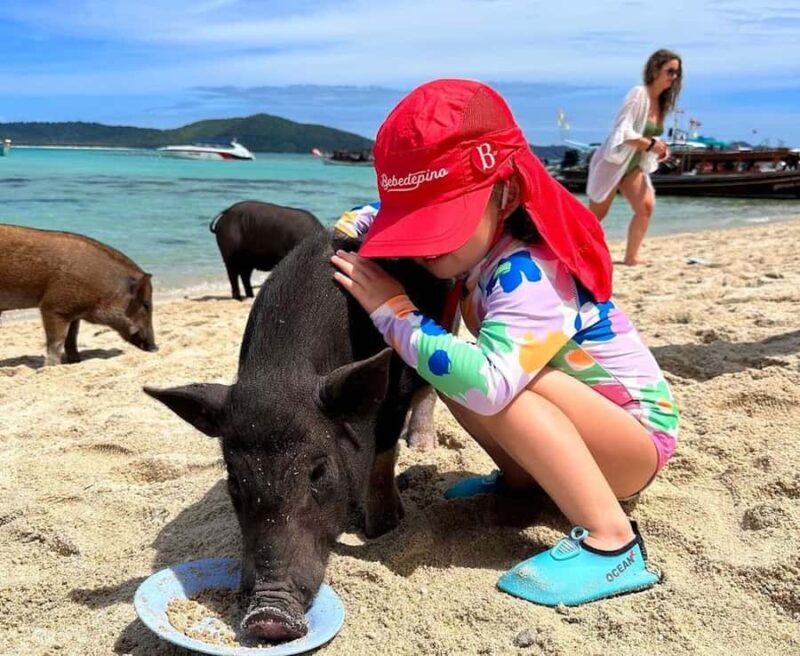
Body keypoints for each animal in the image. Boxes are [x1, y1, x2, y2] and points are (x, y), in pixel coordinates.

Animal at [0, 224, 157, 365]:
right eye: (146, 304)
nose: (155, 348)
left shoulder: (73, 314)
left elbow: (71, 338)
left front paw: (76, 362)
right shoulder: (53, 307)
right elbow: (57, 340)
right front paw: (51, 367)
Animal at [145, 229, 448, 642]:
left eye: (318, 471)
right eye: (234, 479)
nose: (268, 616)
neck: (282, 371)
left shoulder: (394, 391)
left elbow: (383, 452)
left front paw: (383, 528)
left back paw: (421, 445)